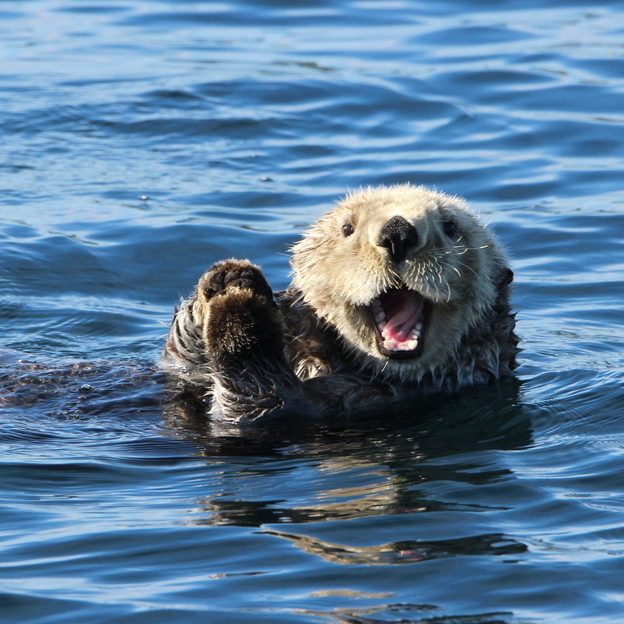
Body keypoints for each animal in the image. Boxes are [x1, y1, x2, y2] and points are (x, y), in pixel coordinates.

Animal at [162, 183, 516, 422]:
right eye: (347, 228)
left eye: (451, 227)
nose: (398, 232)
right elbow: (181, 363)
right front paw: (229, 277)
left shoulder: (353, 399)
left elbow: (255, 400)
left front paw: (239, 310)